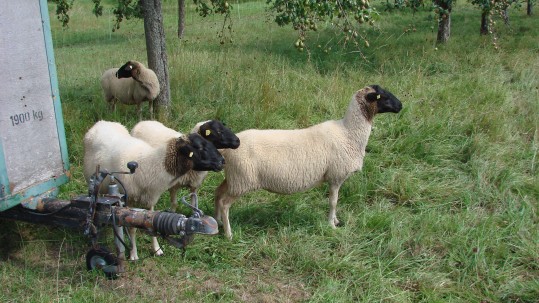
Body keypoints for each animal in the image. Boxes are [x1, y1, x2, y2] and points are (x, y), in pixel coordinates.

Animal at [82, 121, 226, 262]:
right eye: (200, 147)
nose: (222, 161)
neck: (148, 164)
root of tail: (102, 122)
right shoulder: (129, 199)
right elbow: (131, 227)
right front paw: (133, 254)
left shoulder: (150, 198)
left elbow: (151, 222)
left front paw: (157, 250)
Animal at [213, 85, 402, 240]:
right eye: (383, 97)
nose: (401, 106)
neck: (348, 133)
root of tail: (227, 149)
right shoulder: (336, 176)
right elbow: (333, 201)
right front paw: (331, 225)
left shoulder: (335, 177)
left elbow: (335, 201)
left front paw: (336, 221)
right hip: (242, 180)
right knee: (225, 203)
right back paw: (229, 234)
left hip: (234, 177)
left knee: (218, 193)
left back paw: (218, 222)